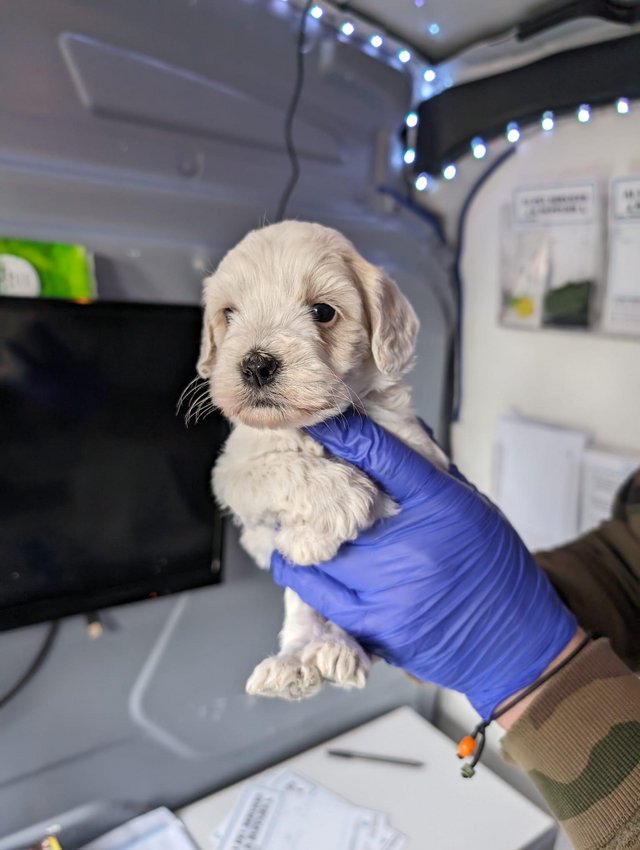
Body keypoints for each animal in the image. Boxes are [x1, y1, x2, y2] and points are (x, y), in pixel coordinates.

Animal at [198, 222, 448, 700]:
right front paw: (324, 512)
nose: (256, 364)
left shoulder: (415, 453)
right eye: (229, 314)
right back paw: (293, 664)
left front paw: (307, 537)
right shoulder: (232, 472)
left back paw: (338, 650)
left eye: (323, 312)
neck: (316, 424)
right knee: (305, 617)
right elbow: (282, 470)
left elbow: (378, 494)